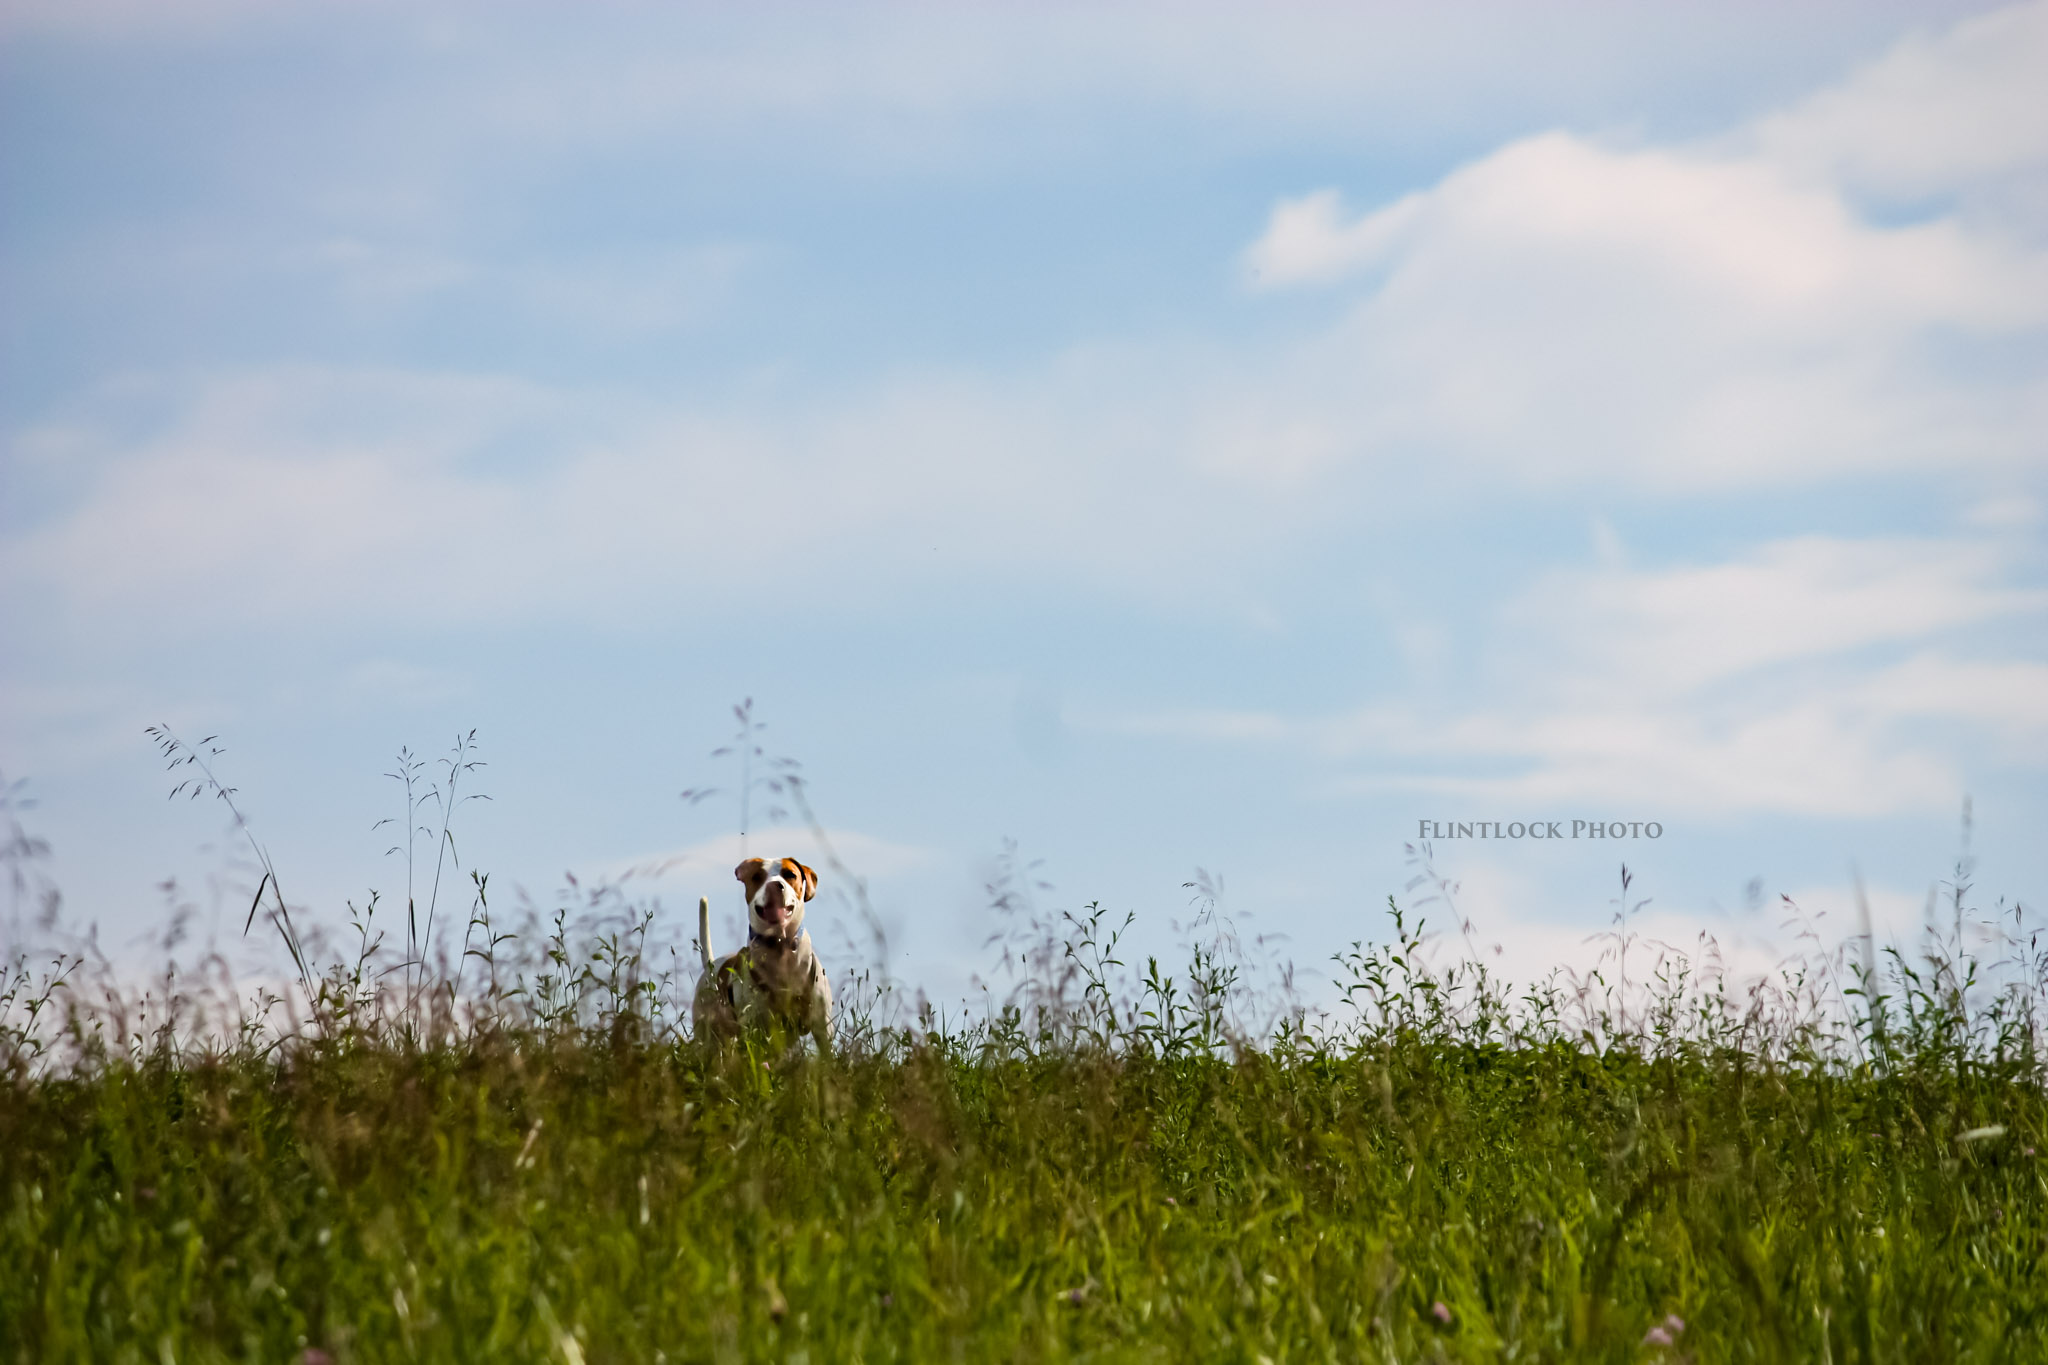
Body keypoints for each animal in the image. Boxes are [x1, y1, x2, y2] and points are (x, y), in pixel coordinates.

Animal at [696, 859, 831, 1055]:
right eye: (756, 876)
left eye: (790, 874)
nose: (775, 886)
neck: (780, 949)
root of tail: (711, 966)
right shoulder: (755, 1031)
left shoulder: (822, 1027)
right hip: (708, 1038)